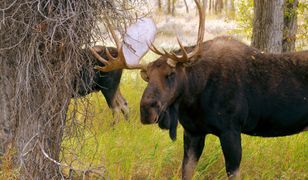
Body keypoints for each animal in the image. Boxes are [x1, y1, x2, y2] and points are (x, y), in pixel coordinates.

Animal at [91, 0, 308, 179]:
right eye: (147, 77)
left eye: (171, 74)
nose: (146, 110)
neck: (193, 99)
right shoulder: (192, 132)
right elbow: (186, 171)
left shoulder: (231, 130)